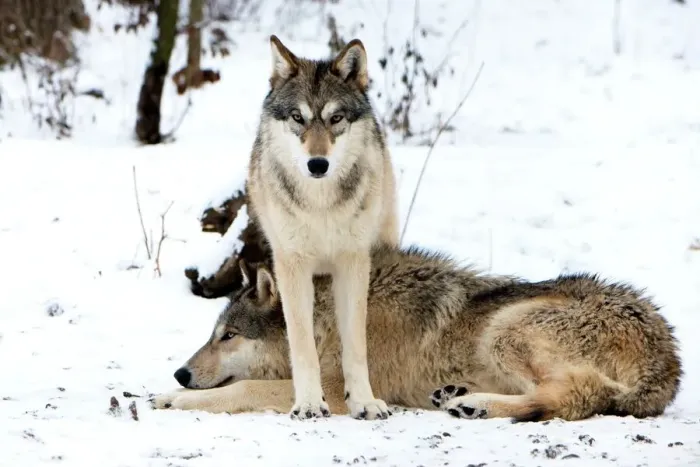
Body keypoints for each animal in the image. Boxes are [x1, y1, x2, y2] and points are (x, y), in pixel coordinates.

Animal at [153, 244, 682, 422]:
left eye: (228, 337)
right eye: (214, 334)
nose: (180, 373)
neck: (327, 324)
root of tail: (669, 357)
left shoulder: (338, 391)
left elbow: (242, 388)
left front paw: (178, 400)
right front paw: (167, 393)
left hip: (504, 329)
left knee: (573, 395)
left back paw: (475, 405)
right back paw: (458, 397)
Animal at [240, 34, 399, 421]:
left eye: (335, 118)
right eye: (298, 117)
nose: (317, 164)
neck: (321, 207)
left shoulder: (353, 264)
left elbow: (355, 346)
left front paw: (363, 401)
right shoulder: (292, 266)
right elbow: (301, 345)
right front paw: (310, 403)